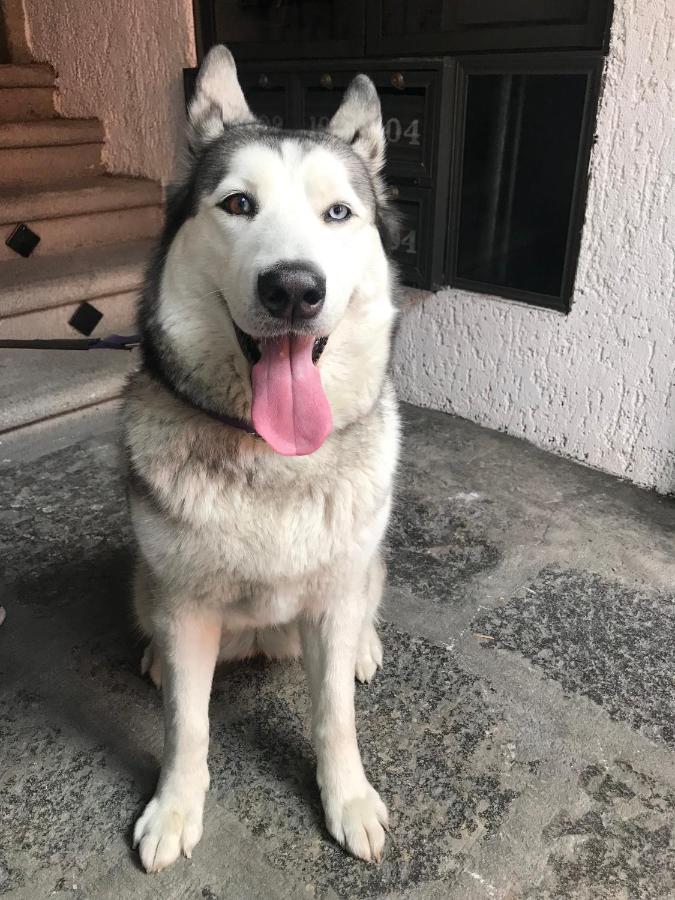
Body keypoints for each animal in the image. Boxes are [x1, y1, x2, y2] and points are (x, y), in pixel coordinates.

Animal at [121, 47, 398, 872]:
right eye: (238, 204)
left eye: (337, 213)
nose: (294, 287)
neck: (275, 458)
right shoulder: (184, 606)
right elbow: (185, 724)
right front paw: (175, 807)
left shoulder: (333, 599)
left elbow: (334, 712)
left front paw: (347, 799)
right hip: (144, 578)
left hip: (366, 561)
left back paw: (367, 645)